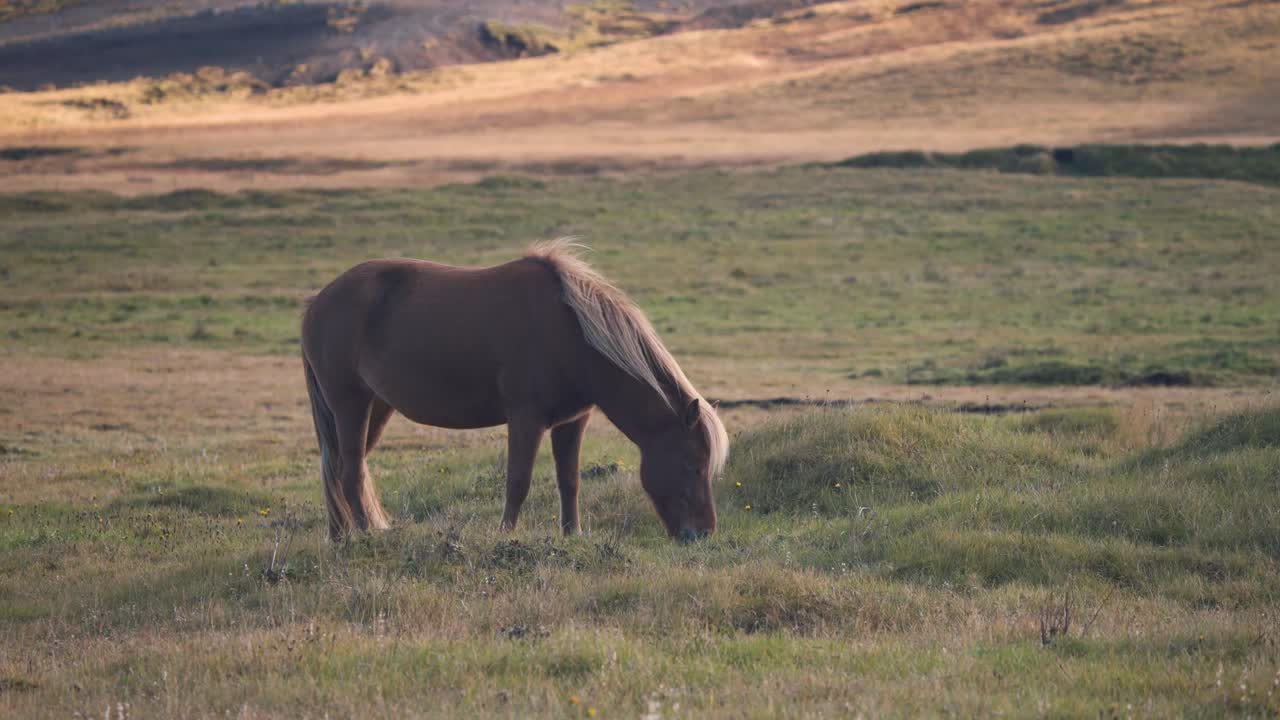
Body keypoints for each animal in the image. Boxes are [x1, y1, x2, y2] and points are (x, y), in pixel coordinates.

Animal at [301, 239, 728, 542]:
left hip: (375, 407)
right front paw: (506, 535)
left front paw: (572, 534)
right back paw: (364, 535)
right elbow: (518, 480)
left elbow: (569, 481)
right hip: (350, 404)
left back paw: (340, 536)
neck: (571, 332)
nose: (703, 534)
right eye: (693, 464)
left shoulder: (572, 422)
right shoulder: (526, 418)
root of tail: (317, 300)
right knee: (351, 471)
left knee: (341, 467)